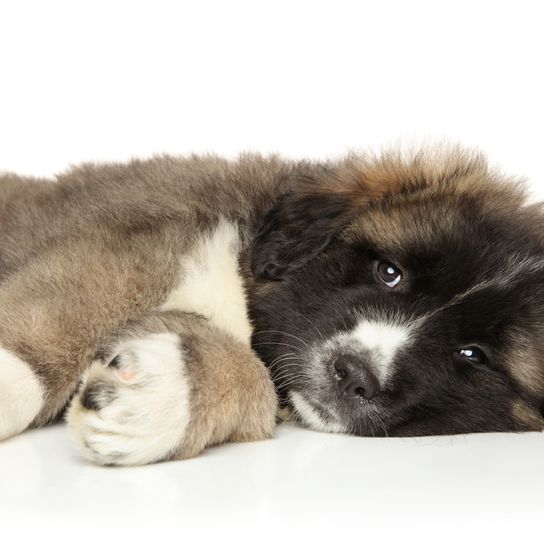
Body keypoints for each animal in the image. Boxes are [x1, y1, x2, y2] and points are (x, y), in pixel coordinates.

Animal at [0, 149, 540, 468]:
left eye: (472, 355)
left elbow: (251, 378)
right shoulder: (131, 244)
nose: (354, 373)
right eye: (389, 272)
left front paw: (158, 399)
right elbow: (62, 312)